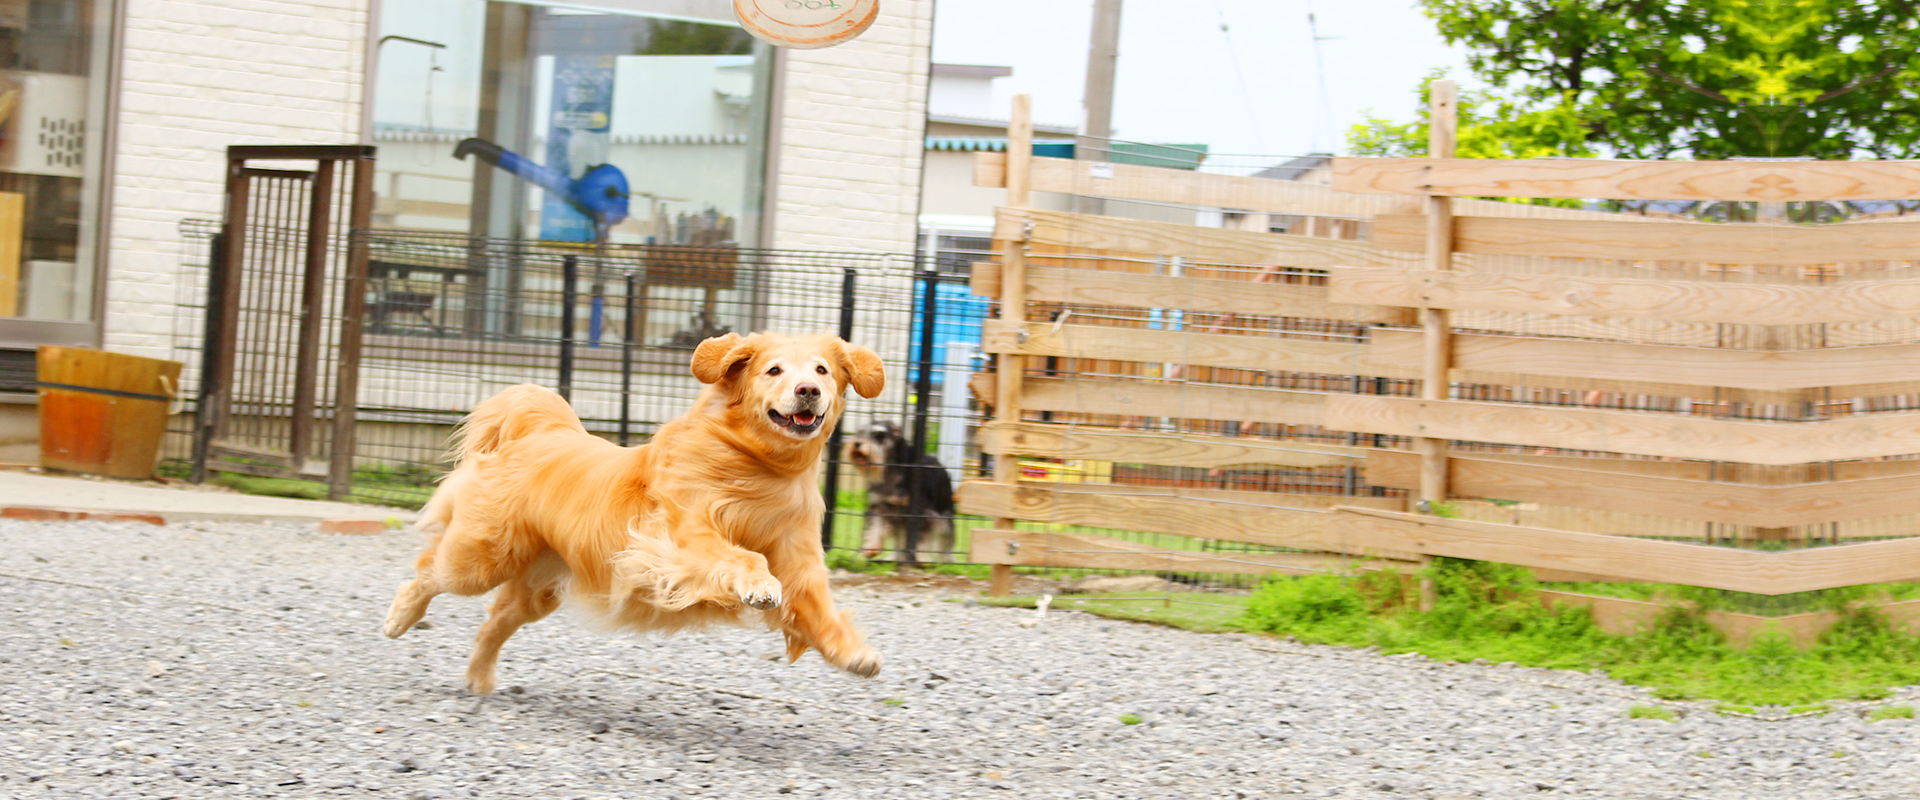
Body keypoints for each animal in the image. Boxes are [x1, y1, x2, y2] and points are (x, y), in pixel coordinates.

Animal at [848, 420, 952, 564]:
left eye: (879, 435)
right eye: (860, 432)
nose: (857, 443)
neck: (890, 472)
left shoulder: (921, 512)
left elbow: (921, 538)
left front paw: (921, 558)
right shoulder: (878, 507)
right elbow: (875, 528)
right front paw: (871, 548)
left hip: (945, 518)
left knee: (945, 543)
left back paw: (946, 560)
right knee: (899, 542)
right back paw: (895, 557)